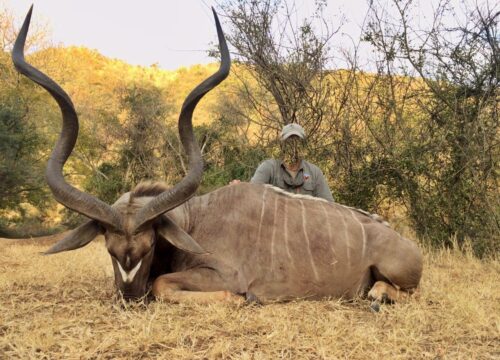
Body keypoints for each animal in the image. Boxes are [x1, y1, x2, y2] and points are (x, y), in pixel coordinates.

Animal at [12, 7, 422, 308]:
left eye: (149, 247)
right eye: (109, 250)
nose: (129, 297)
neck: (195, 220)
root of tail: (406, 243)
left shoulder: (222, 273)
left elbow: (163, 284)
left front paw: (243, 299)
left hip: (398, 273)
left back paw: (377, 295)